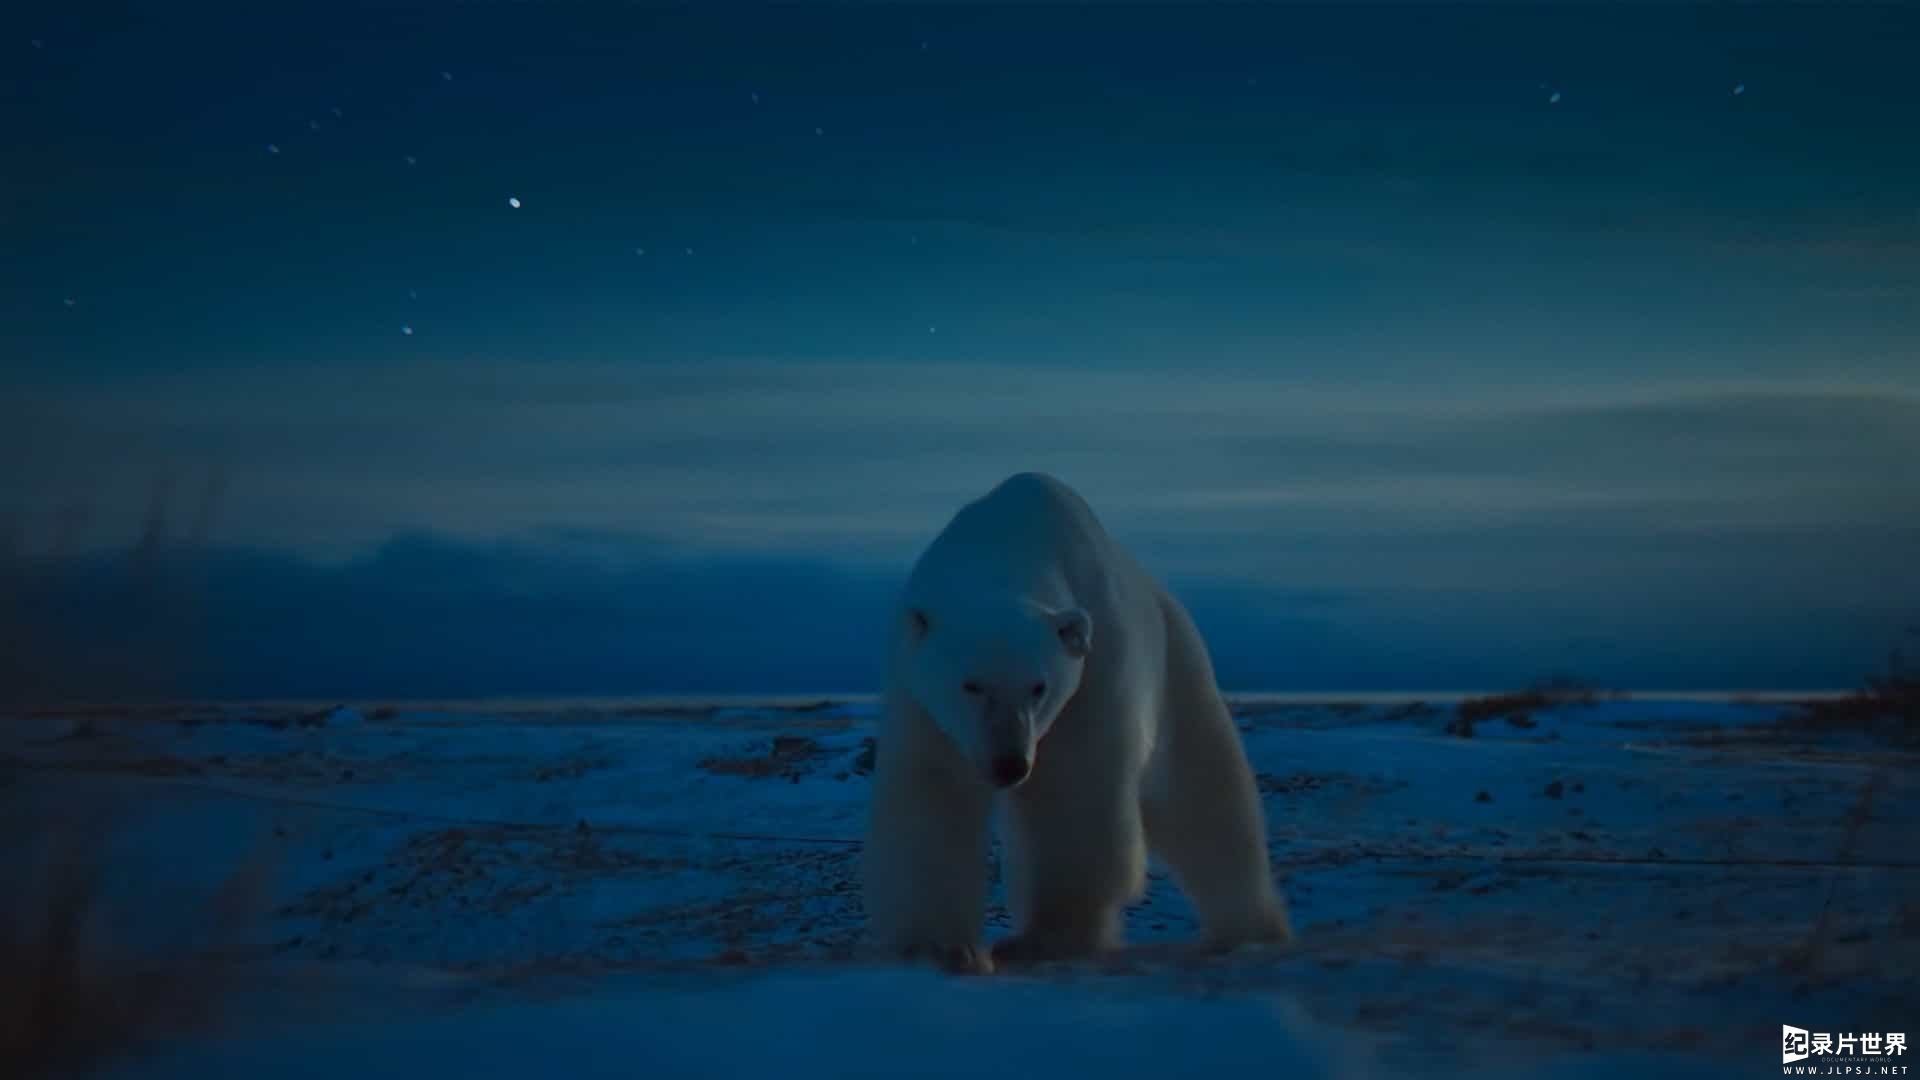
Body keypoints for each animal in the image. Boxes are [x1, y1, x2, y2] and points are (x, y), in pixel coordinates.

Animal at [867, 466, 1290, 972]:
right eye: (971, 685)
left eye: (1038, 687)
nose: (1009, 764)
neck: (1006, 545)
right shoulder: (922, 702)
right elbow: (932, 795)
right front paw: (938, 946)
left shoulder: (1093, 677)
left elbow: (1073, 796)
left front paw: (1047, 940)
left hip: (1177, 671)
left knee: (1205, 792)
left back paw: (1250, 929)